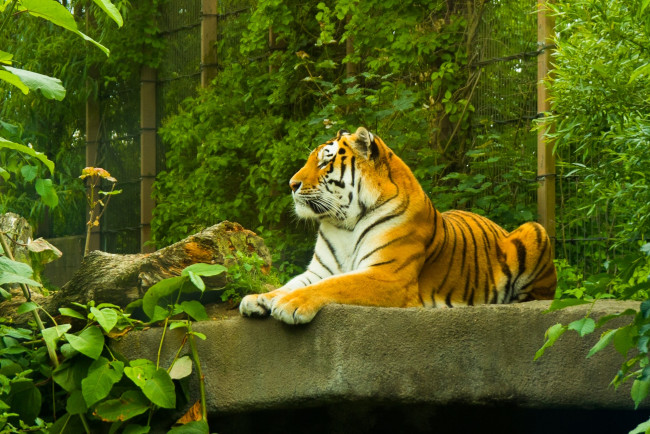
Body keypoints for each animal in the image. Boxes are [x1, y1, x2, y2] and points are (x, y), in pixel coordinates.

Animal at [239, 127, 557, 324]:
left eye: (323, 163)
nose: (291, 184)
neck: (343, 224)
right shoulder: (319, 270)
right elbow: (289, 284)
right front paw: (259, 299)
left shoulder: (388, 275)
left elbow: (335, 285)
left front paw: (289, 304)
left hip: (535, 231)